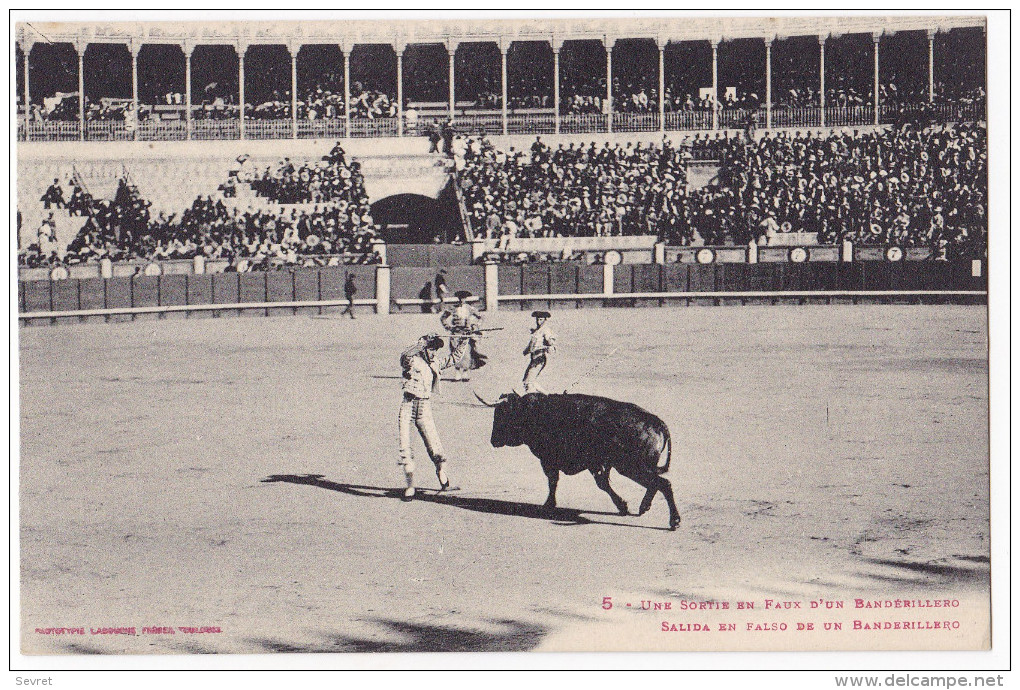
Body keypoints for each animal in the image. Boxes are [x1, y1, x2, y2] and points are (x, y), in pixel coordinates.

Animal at [473, 389, 681, 530]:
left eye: (502, 414)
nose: (493, 440)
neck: (536, 412)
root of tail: (657, 422)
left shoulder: (550, 460)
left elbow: (553, 481)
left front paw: (548, 505)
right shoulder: (596, 464)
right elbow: (603, 484)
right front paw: (622, 506)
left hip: (631, 467)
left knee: (663, 483)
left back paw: (674, 520)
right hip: (636, 467)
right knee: (655, 483)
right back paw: (644, 507)